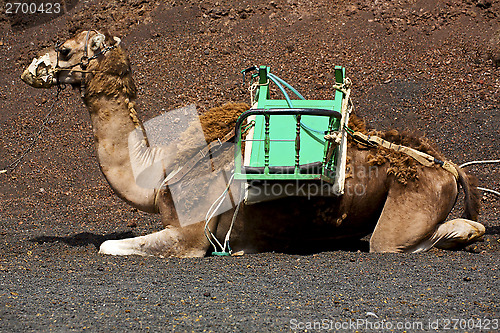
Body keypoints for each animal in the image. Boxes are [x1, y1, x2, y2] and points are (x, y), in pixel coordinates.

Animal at [20, 30, 484, 254]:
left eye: (64, 50)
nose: (29, 69)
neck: (157, 168)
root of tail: (446, 166)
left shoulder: (189, 236)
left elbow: (107, 246)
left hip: (411, 203)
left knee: (396, 241)